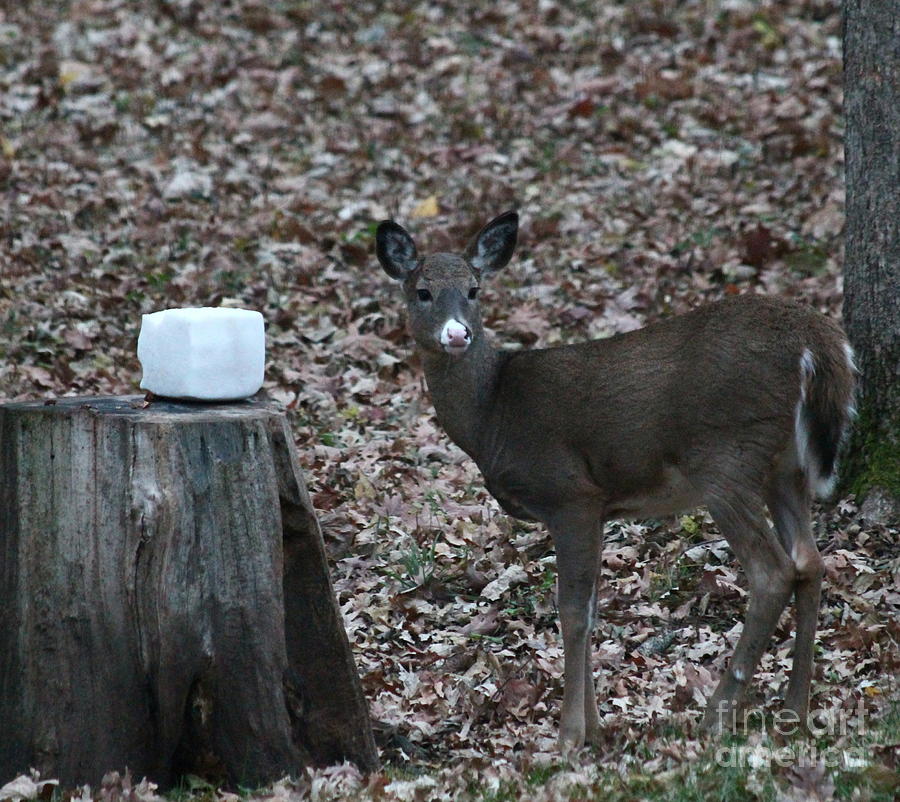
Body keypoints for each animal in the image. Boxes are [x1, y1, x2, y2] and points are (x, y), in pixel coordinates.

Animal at [375, 210, 856, 752]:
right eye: (422, 291)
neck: (492, 414)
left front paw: (568, 737)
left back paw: (717, 717)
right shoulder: (599, 507)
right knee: (810, 562)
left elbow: (570, 611)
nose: (458, 335)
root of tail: (816, 342)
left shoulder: (570, 494)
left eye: (474, 290)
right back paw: (796, 709)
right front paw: (595, 729)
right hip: (785, 465)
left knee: (773, 573)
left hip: (725, 458)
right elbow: (591, 609)